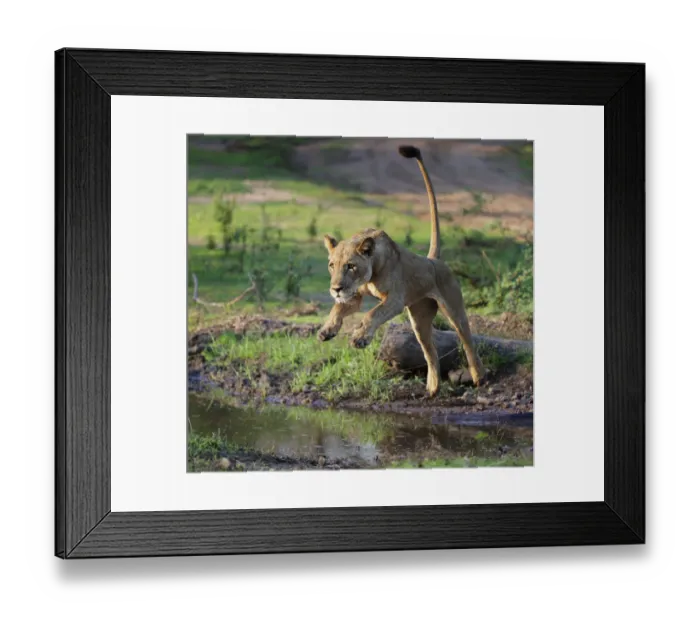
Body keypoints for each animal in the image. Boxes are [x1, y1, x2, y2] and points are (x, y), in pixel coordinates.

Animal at [317, 144, 488, 397]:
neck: (369, 275)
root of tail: (433, 260)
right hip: (419, 320)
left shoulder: (395, 299)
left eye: (351, 266)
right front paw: (327, 330)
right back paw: (432, 388)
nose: (336, 288)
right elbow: (337, 309)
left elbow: (372, 314)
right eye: (332, 265)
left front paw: (359, 339)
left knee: (468, 342)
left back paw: (478, 377)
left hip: (454, 310)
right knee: (431, 352)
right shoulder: (354, 296)